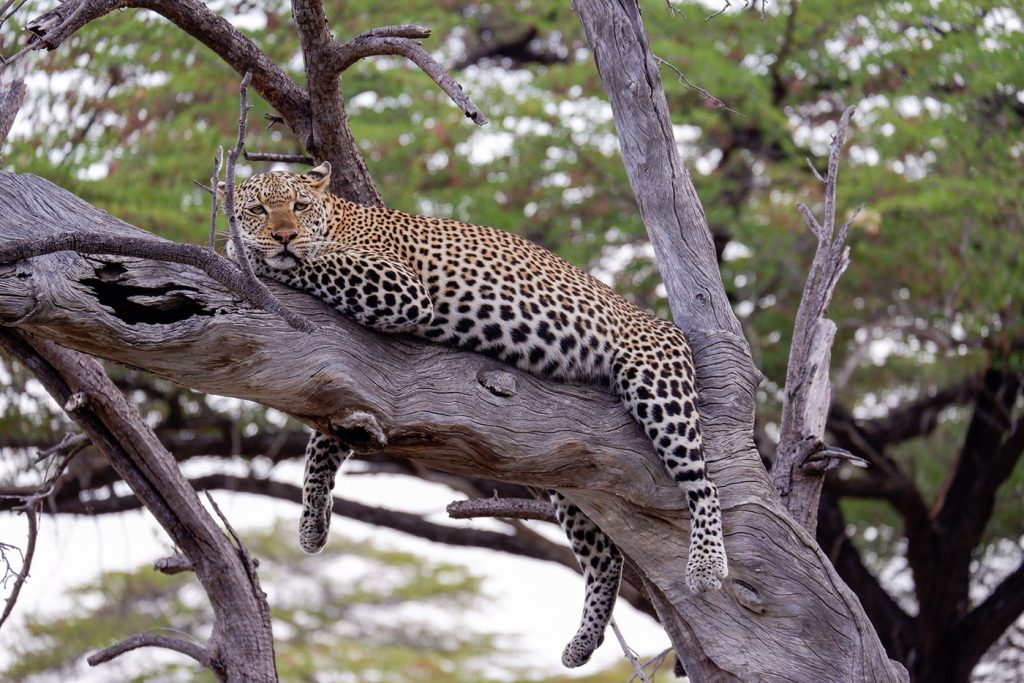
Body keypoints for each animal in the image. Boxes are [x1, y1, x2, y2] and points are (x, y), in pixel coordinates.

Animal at [224, 162, 728, 668]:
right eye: (259, 209)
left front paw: (250, 254)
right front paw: (312, 521)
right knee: (606, 556)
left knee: (702, 484)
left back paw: (707, 564)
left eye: (299, 205)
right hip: (569, 475)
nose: (284, 235)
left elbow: (317, 261)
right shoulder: (353, 393)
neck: (333, 217)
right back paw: (584, 641)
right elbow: (324, 444)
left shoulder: (401, 288)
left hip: (656, 386)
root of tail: (665, 325)